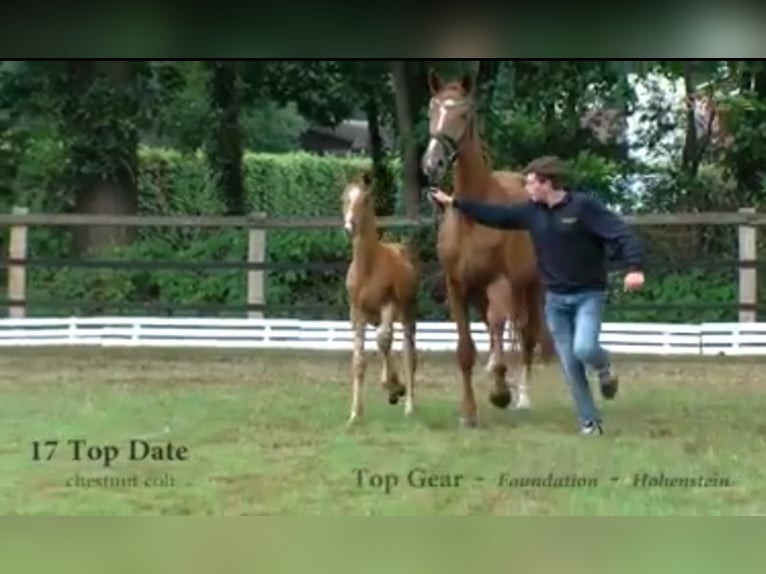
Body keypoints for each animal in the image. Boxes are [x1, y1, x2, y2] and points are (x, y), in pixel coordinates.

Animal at [341, 169, 420, 425]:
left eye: (365, 199)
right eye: (344, 198)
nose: (349, 226)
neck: (368, 267)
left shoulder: (389, 304)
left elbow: (384, 341)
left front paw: (394, 386)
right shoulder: (357, 313)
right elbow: (359, 361)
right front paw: (355, 414)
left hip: (407, 311)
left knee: (408, 352)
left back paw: (408, 403)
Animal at [420, 68, 556, 428]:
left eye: (463, 114)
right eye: (432, 109)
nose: (432, 163)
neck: (473, 218)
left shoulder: (501, 284)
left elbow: (500, 330)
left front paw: (500, 391)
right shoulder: (457, 286)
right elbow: (465, 349)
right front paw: (469, 412)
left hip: (529, 287)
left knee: (525, 334)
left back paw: (520, 396)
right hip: (481, 293)